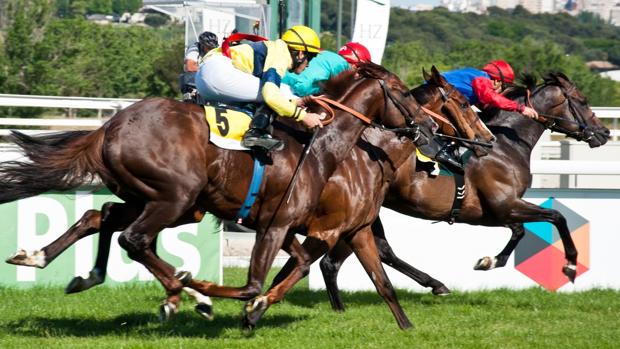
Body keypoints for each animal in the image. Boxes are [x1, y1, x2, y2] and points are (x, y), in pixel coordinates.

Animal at [1, 62, 436, 320]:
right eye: (403, 91)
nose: (429, 128)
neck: (322, 146)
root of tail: (110, 127)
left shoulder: (286, 224)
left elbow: (298, 265)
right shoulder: (281, 224)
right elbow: (262, 280)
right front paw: (220, 296)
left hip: (153, 197)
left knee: (102, 215)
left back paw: (48, 260)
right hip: (175, 196)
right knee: (134, 238)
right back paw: (185, 295)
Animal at [314, 71, 612, 310]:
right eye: (583, 101)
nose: (605, 133)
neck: (502, 147)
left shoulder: (493, 213)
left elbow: (519, 231)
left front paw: (489, 260)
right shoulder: (504, 206)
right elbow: (556, 217)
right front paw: (570, 265)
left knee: (371, 253)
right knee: (340, 258)